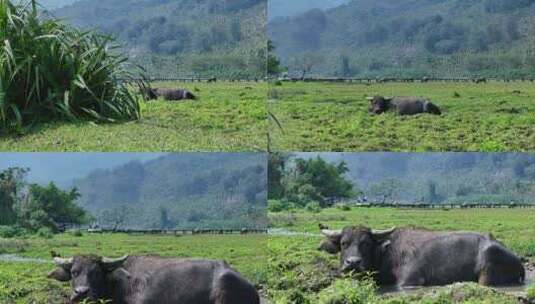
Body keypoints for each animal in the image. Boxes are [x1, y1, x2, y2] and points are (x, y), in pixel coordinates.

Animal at [320, 226, 524, 288]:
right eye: (344, 243)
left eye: (366, 244)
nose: (353, 262)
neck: (388, 253)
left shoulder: (410, 281)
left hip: (487, 271)